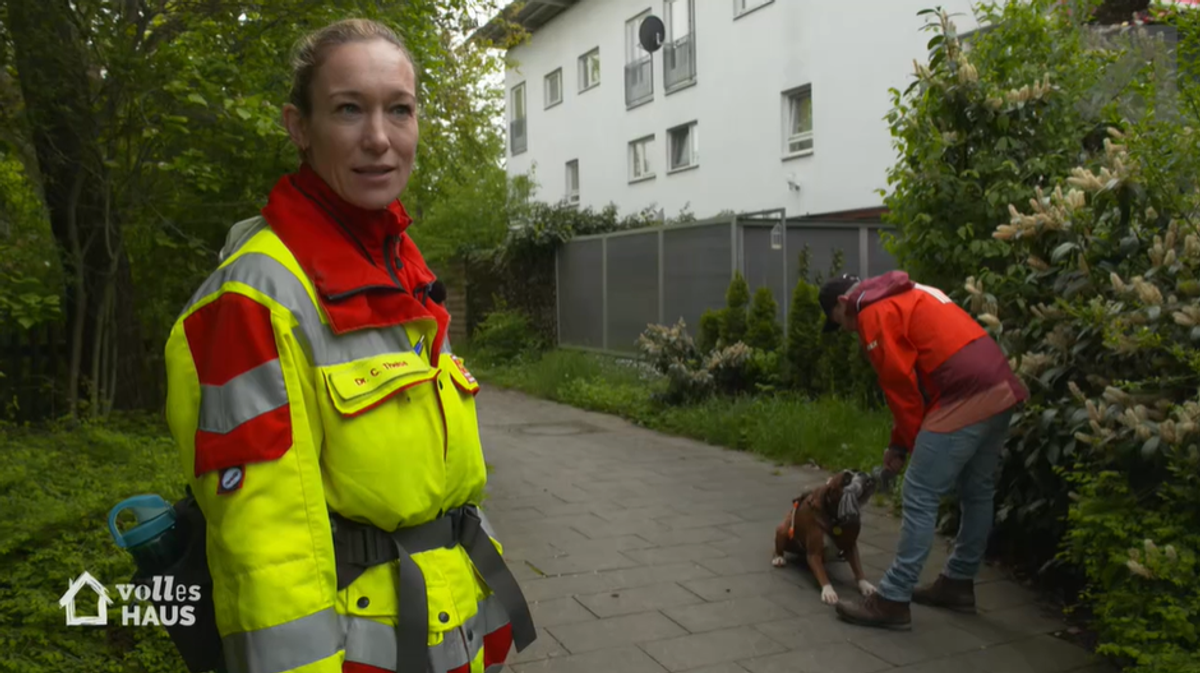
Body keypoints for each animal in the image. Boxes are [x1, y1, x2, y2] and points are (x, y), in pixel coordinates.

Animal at [772, 467, 878, 604]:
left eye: (856, 470)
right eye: (846, 480)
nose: (862, 473)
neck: (837, 520)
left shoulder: (851, 546)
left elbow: (857, 568)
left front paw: (865, 585)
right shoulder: (814, 555)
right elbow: (822, 574)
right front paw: (828, 591)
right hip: (783, 530)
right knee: (778, 547)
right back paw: (778, 558)